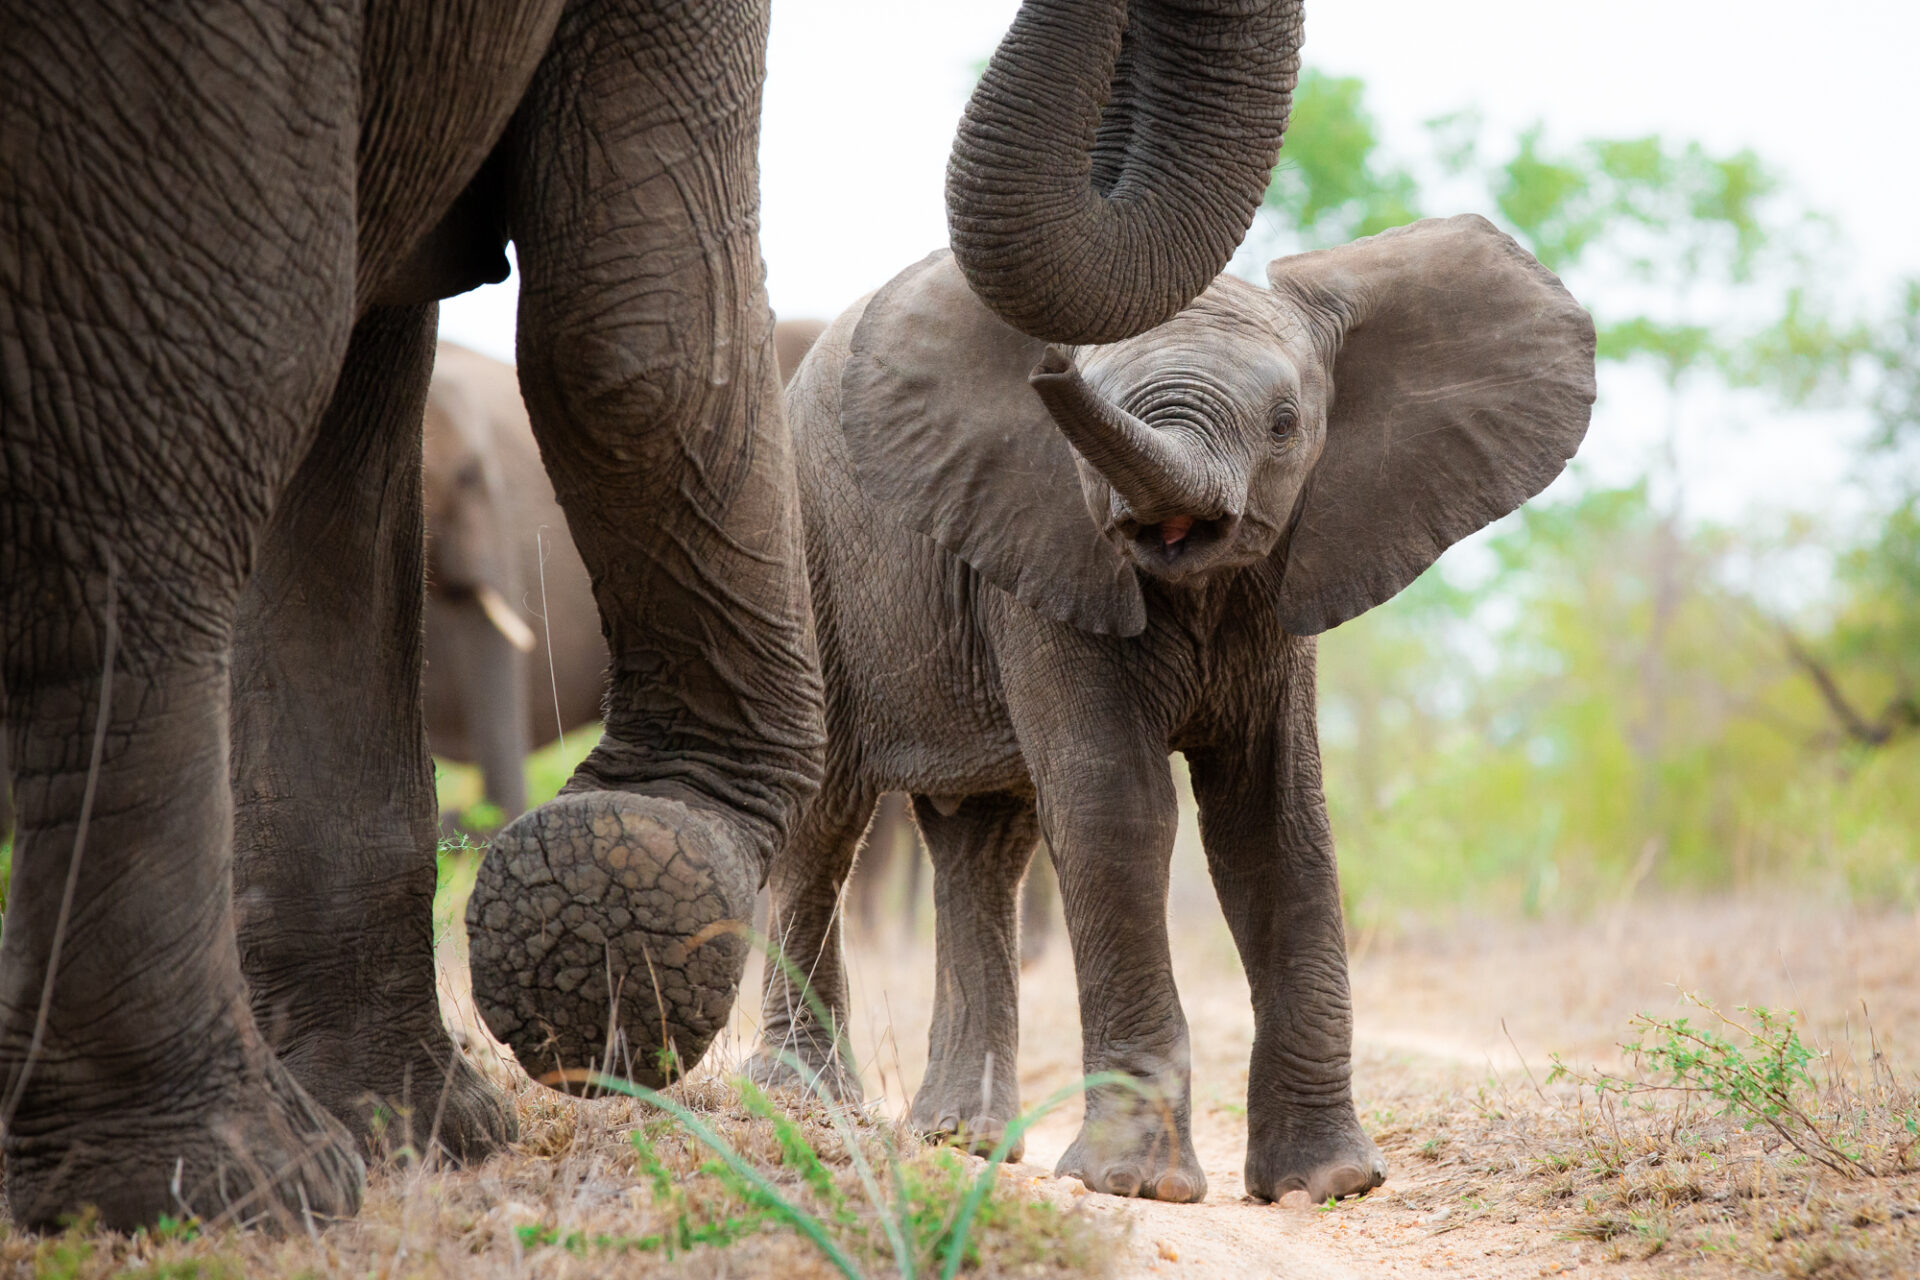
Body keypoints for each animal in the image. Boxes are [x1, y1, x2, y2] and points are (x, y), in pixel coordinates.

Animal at [751, 217, 1596, 1205]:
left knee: (983, 846)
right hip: (812, 563)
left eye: (1285, 425)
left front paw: (1327, 1184)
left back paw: (959, 1137)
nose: (1049, 363)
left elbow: (1273, 826)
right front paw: (1136, 1186)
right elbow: (1120, 810)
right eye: (1075, 431)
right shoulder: (1049, 556)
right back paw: (806, 1104)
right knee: (826, 823)